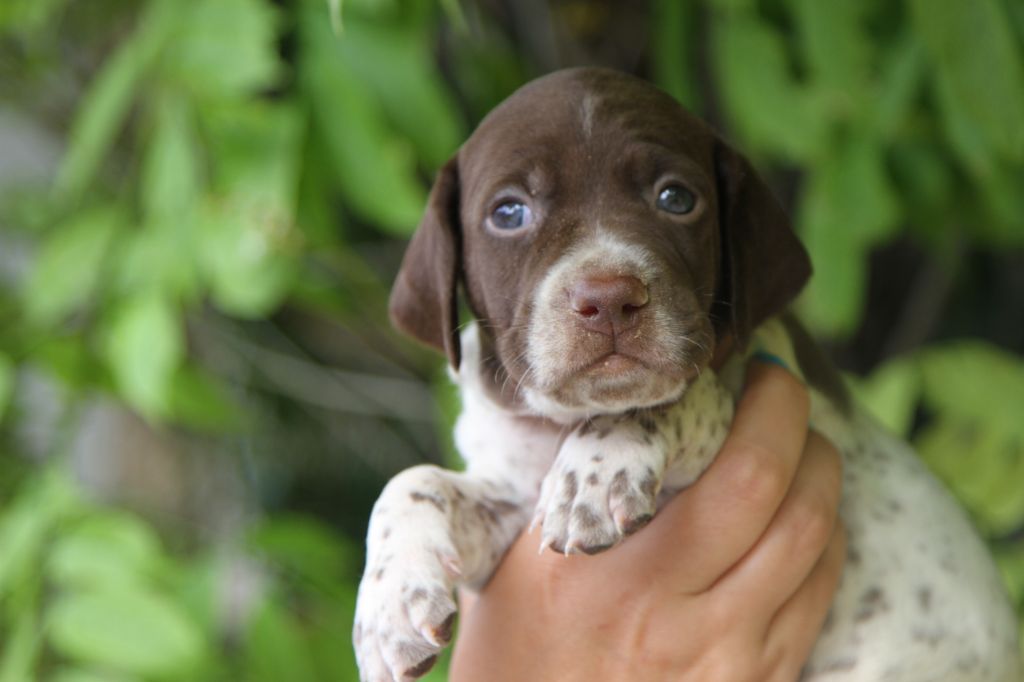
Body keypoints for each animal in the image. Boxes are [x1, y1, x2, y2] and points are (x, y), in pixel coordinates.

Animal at [353, 68, 1023, 681]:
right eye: (509, 212)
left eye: (676, 199)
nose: (608, 298)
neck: (560, 425)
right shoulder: (508, 512)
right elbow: (412, 482)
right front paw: (390, 607)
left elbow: (678, 393)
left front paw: (595, 468)